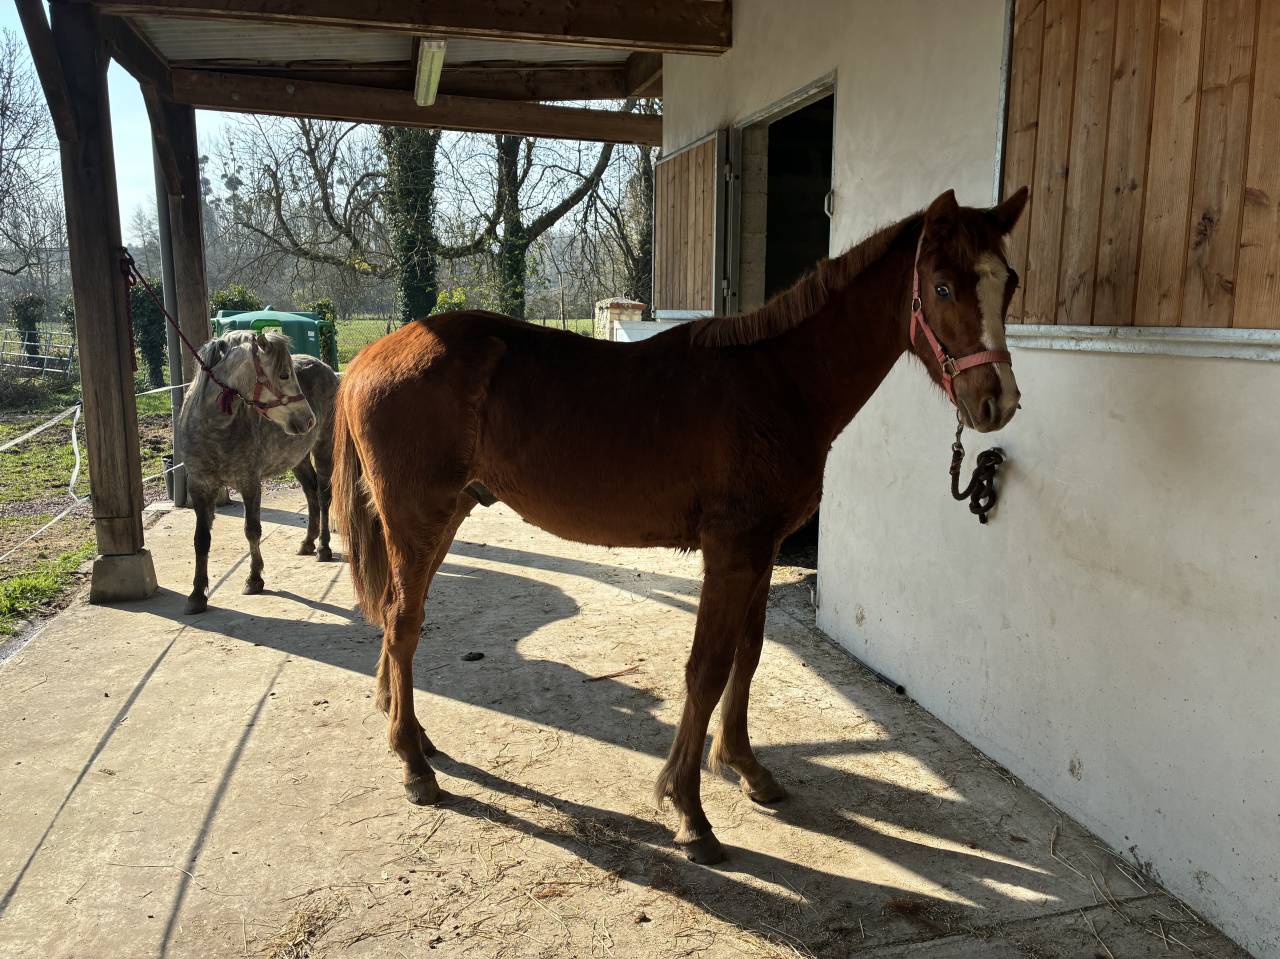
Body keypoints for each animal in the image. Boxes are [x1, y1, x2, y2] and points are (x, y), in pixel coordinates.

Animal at [179, 329, 339, 615]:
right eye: (284, 374)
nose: (309, 419)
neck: (213, 427)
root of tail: (326, 367)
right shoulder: (199, 485)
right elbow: (201, 539)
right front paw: (197, 594)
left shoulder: (249, 482)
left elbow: (252, 530)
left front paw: (254, 579)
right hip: (297, 457)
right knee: (310, 492)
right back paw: (308, 542)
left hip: (323, 447)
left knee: (322, 495)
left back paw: (323, 547)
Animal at [331, 187, 1029, 864]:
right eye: (943, 287)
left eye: (1011, 282)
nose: (996, 402)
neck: (780, 382)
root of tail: (370, 355)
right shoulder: (731, 551)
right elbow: (708, 668)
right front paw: (689, 811)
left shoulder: (762, 550)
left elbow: (747, 657)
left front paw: (746, 770)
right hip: (417, 520)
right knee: (403, 622)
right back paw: (414, 765)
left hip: (446, 517)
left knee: (398, 622)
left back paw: (413, 736)